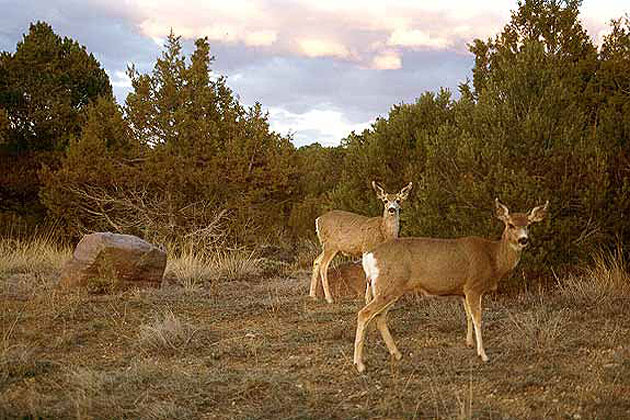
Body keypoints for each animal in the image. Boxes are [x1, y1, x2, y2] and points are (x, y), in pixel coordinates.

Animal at [356, 199, 552, 372]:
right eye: (510, 224)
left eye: (528, 225)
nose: (523, 240)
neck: (493, 258)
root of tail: (368, 256)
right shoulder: (473, 286)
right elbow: (478, 319)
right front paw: (483, 354)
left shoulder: (463, 290)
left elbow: (468, 316)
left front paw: (469, 343)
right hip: (389, 285)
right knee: (364, 313)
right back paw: (360, 365)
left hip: (390, 288)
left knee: (379, 317)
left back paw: (396, 354)